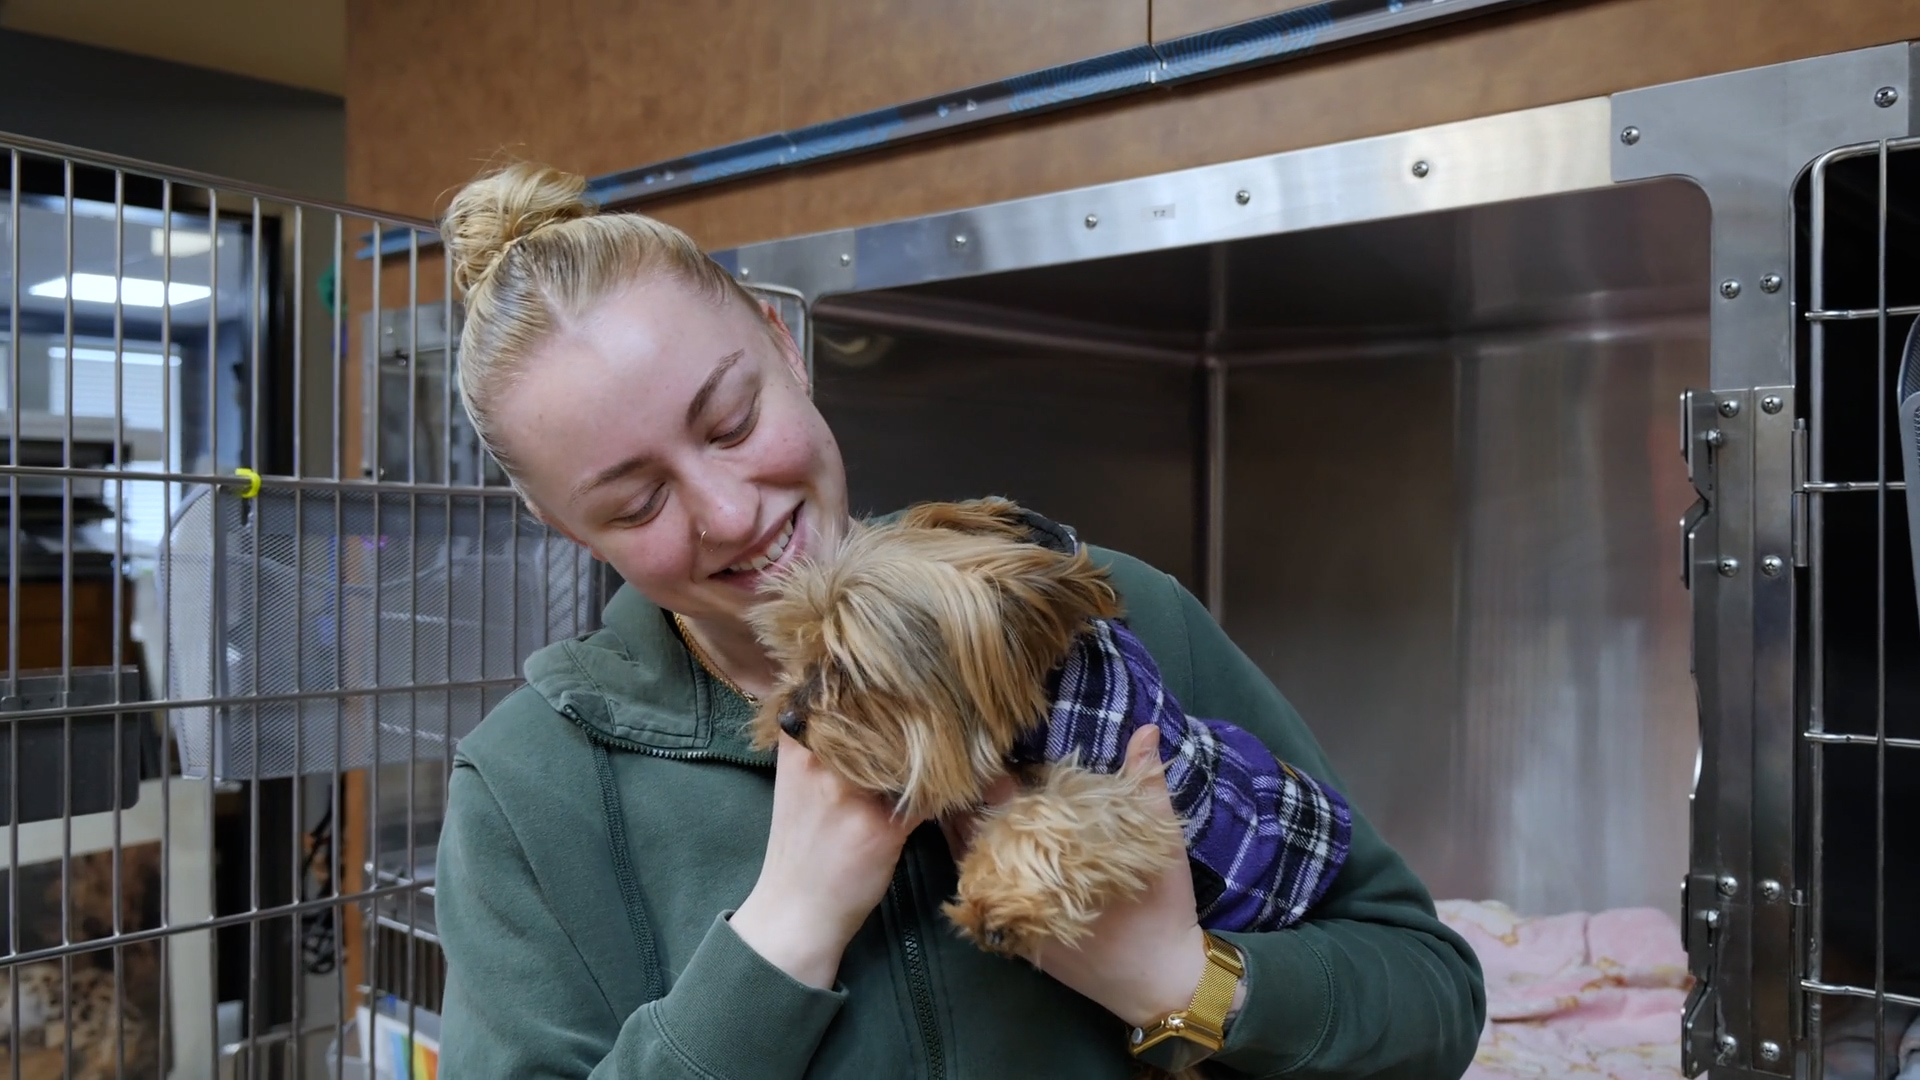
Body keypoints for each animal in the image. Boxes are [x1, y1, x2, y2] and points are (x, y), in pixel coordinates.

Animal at [748, 495, 1351, 957]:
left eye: (851, 669)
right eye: (803, 644)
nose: (789, 719)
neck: (1056, 699)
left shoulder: (1138, 791)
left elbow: (1056, 812)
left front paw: (997, 900)